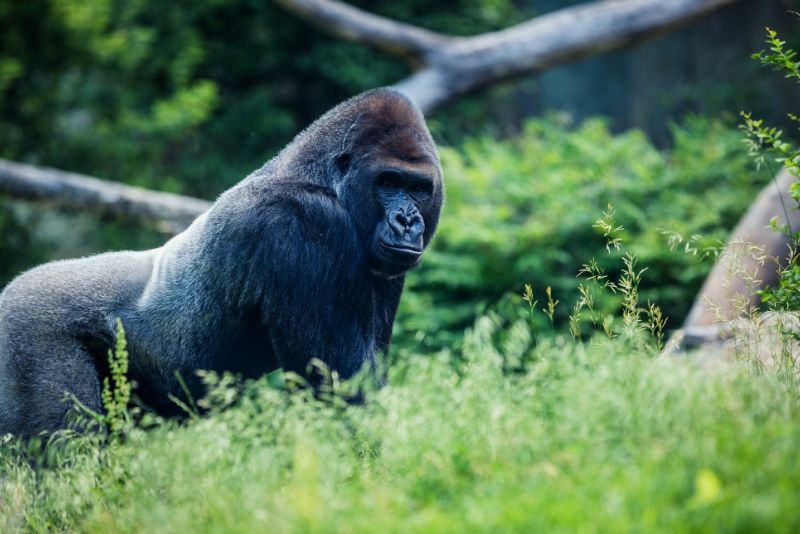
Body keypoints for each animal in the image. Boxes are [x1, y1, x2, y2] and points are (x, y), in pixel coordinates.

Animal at [0, 88, 444, 438]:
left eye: (419, 188)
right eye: (388, 182)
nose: (407, 221)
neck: (321, 178)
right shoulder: (309, 225)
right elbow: (340, 395)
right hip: (25, 331)